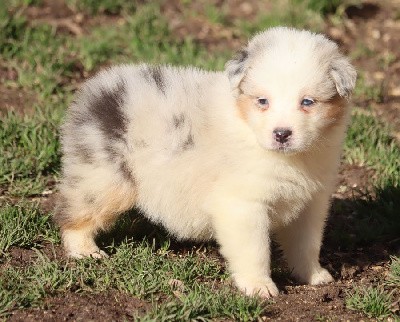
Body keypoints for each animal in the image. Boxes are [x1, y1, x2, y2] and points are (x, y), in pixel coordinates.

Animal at [54, 27, 356, 296]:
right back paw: (85, 250)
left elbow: (307, 244)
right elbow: (255, 250)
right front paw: (259, 287)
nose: (281, 134)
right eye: (262, 101)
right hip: (106, 179)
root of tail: (95, 87)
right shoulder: (243, 205)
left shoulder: (310, 203)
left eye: (307, 102)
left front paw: (315, 276)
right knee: (74, 215)